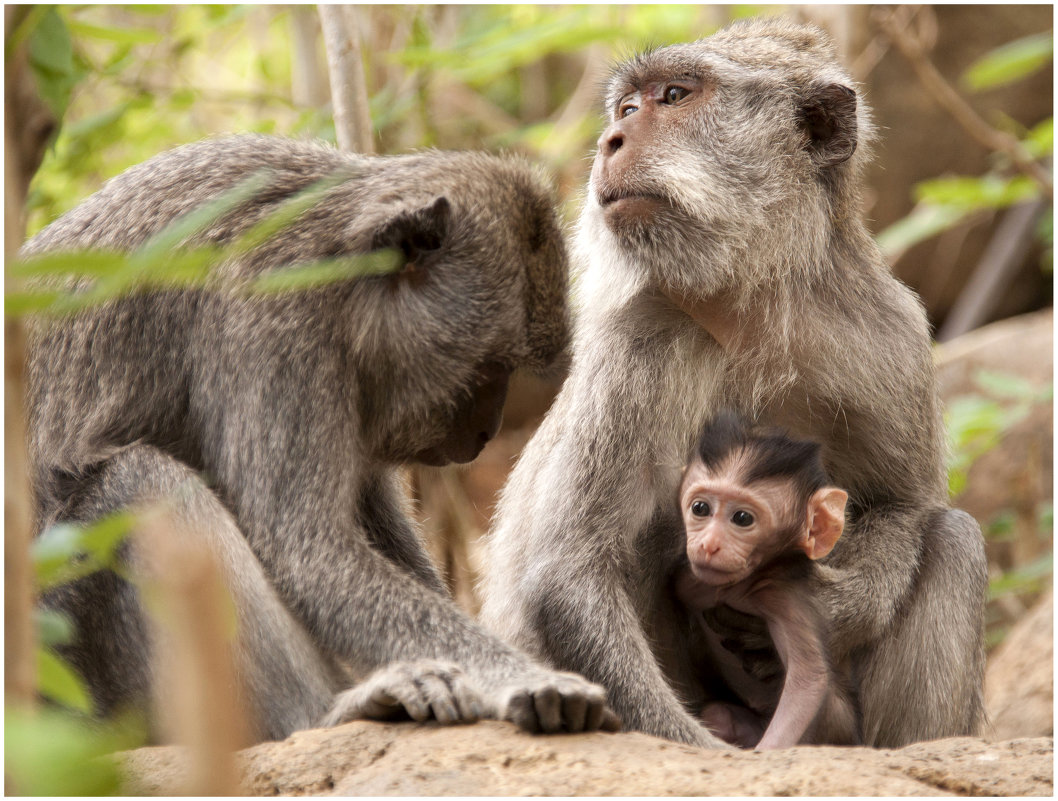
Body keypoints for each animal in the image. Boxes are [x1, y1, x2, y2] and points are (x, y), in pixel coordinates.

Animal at [672, 412, 863, 749]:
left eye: (743, 518)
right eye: (700, 508)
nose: (709, 545)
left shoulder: (781, 596)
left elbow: (809, 679)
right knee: (719, 715)